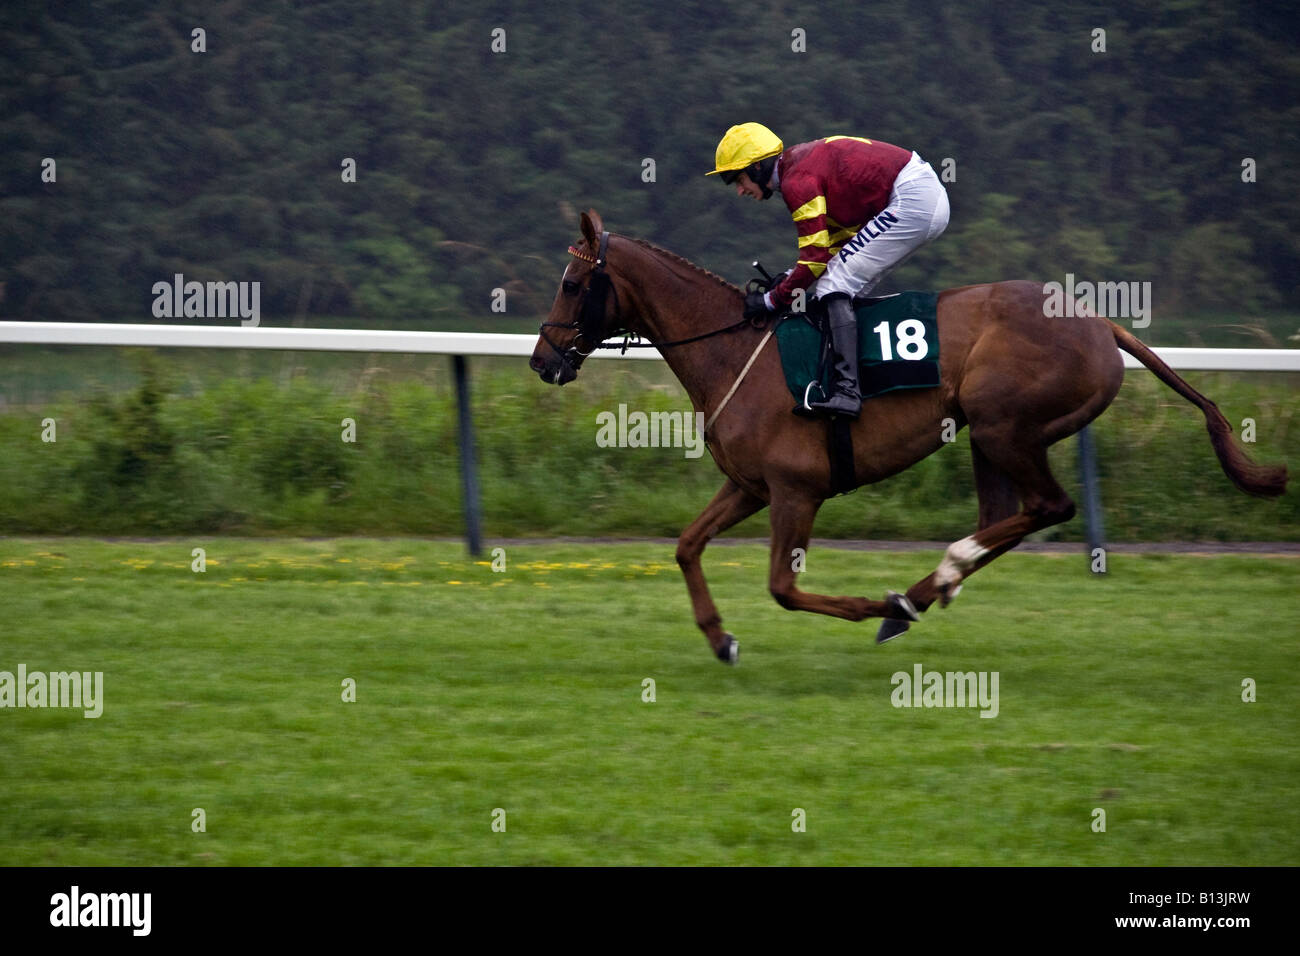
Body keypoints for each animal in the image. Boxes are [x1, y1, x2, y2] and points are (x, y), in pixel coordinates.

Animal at [525, 210, 1279, 665]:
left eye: (572, 283)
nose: (542, 360)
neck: (733, 347)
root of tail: (1101, 322)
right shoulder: (750, 487)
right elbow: (685, 547)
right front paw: (720, 639)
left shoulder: (798, 490)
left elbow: (783, 587)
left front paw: (869, 604)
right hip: (985, 433)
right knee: (1005, 514)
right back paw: (924, 593)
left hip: (1004, 422)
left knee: (1047, 507)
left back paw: (924, 587)